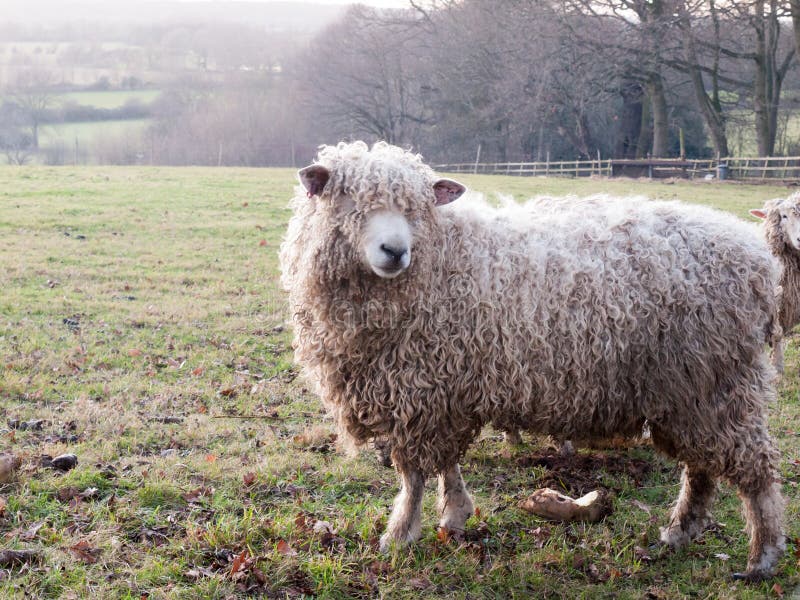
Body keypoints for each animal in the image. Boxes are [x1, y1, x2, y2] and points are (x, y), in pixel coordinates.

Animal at [282, 141, 788, 580]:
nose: (395, 250)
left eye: (417, 208)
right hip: (689, 389)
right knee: (702, 468)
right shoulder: (443, 385)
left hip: (716, 382)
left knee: (755, 470)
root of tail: (759, 264)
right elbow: (445, 464)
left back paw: (762, 557)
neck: (441, 257)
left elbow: (413, 475)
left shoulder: (421, 389)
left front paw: (400, 534)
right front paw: (455, 514)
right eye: (348, 199)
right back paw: (680, 533)